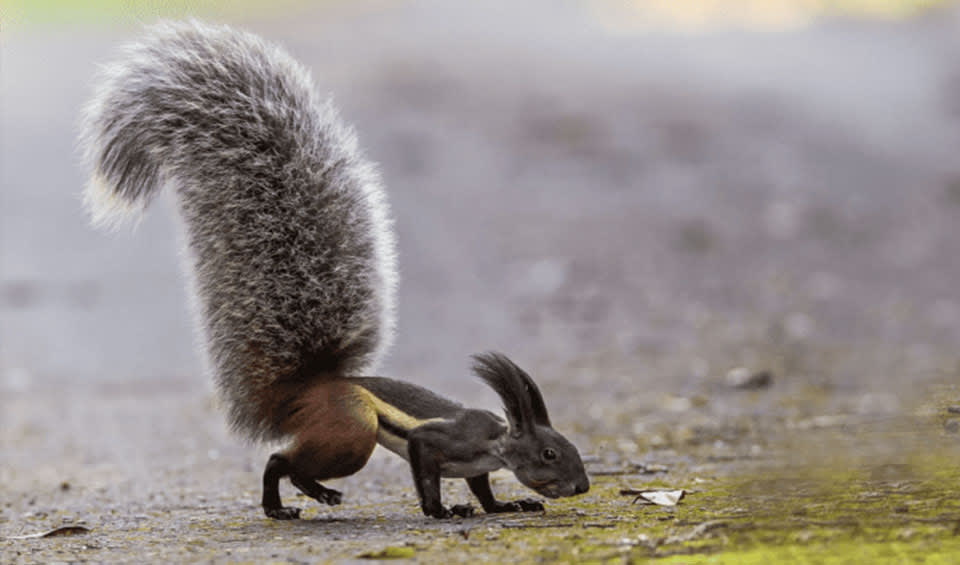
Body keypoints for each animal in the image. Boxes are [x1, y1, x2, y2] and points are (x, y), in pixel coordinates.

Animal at [79, 20, 589, 520]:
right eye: (549, 453)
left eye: (569, 447)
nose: (582, 486)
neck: (496, 442)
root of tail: (307, 391)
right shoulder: (436, 441)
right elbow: (426, 469)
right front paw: (441, 511)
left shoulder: (474, 465)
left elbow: (482, 488)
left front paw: (505, 503)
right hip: (351, 431)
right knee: (279, 459)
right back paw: (298, 499)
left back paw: (302, 499)